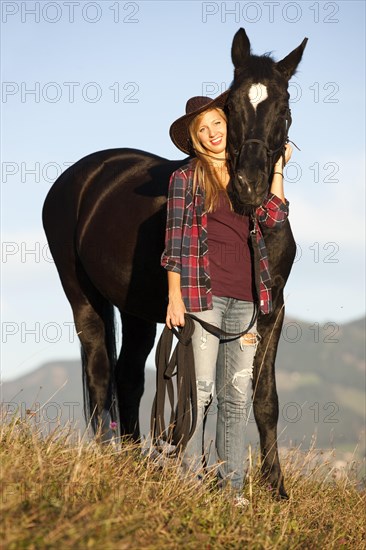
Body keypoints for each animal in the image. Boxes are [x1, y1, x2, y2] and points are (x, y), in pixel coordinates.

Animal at [42, 28, 306, 498]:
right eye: (231, 105)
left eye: (284, 106)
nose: (250, 185)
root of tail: (81, 176)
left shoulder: (270, 309)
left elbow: (264, 399)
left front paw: (275, 489)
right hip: (83, 297)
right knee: (100, 371)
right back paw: (111, 459)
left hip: (136, 311)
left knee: (129, 375)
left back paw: (134, 460)